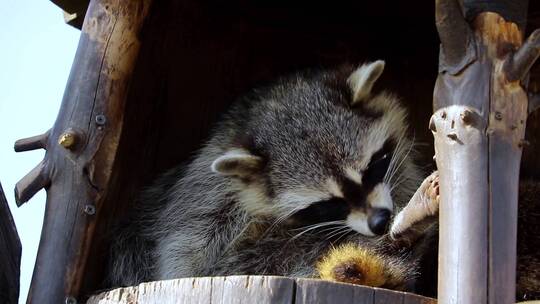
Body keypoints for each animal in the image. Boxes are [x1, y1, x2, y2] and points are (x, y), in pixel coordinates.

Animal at [108, 60, 426, 288]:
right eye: (328, 204)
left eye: (372, 168)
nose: (379, 223)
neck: (273, 98)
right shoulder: (209, 195)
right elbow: (199, 256)